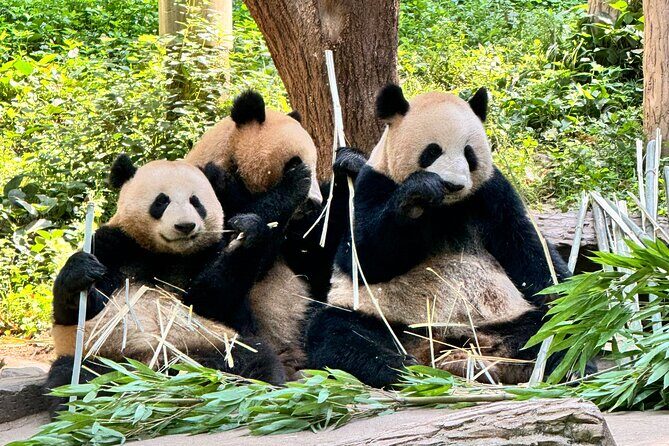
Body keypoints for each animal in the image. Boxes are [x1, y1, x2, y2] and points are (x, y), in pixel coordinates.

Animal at [46, 156, 285, 413]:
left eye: (196, 202)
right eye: (162, 201)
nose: (185, 226)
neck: (167, 254)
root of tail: (160, 370)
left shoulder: (206, 255)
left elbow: (211, 301)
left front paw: (248, 231)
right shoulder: (113, 245)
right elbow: (78, 311)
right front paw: (81, 271)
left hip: (214, 344)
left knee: (255, 362)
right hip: (104, 357)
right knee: (76, 378)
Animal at [185, 91, 352, 378]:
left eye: (317, 162)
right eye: (294, 161)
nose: (314, 203)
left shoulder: (300, 234)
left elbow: (323, 251)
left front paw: (348, 164)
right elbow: (203, 293)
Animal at [304, 84, 572, 388]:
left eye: (469, 154)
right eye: (432, 151)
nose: (452, 185)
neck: (445, 208)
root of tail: (442, 345)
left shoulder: (492, 193)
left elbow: (527, 248)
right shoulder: (373, 183)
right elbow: (362, 257)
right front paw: (417, 193)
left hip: (502, 320)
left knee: (548, 332)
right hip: (388, 321)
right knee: (339, 333)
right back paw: (404, 369)